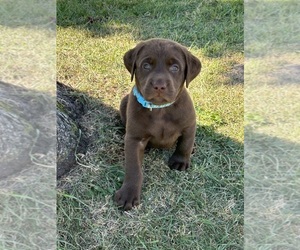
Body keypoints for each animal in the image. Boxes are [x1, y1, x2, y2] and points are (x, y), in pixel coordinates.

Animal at [115, 38, 202, 211]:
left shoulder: (189, 124)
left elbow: (185, 144)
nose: (159, 85)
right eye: (146, 65)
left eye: (175, 67)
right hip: (123, 102)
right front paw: (129, 193)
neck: (160, 109)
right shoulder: (134, 139)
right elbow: (134, 168)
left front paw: (180, 161)